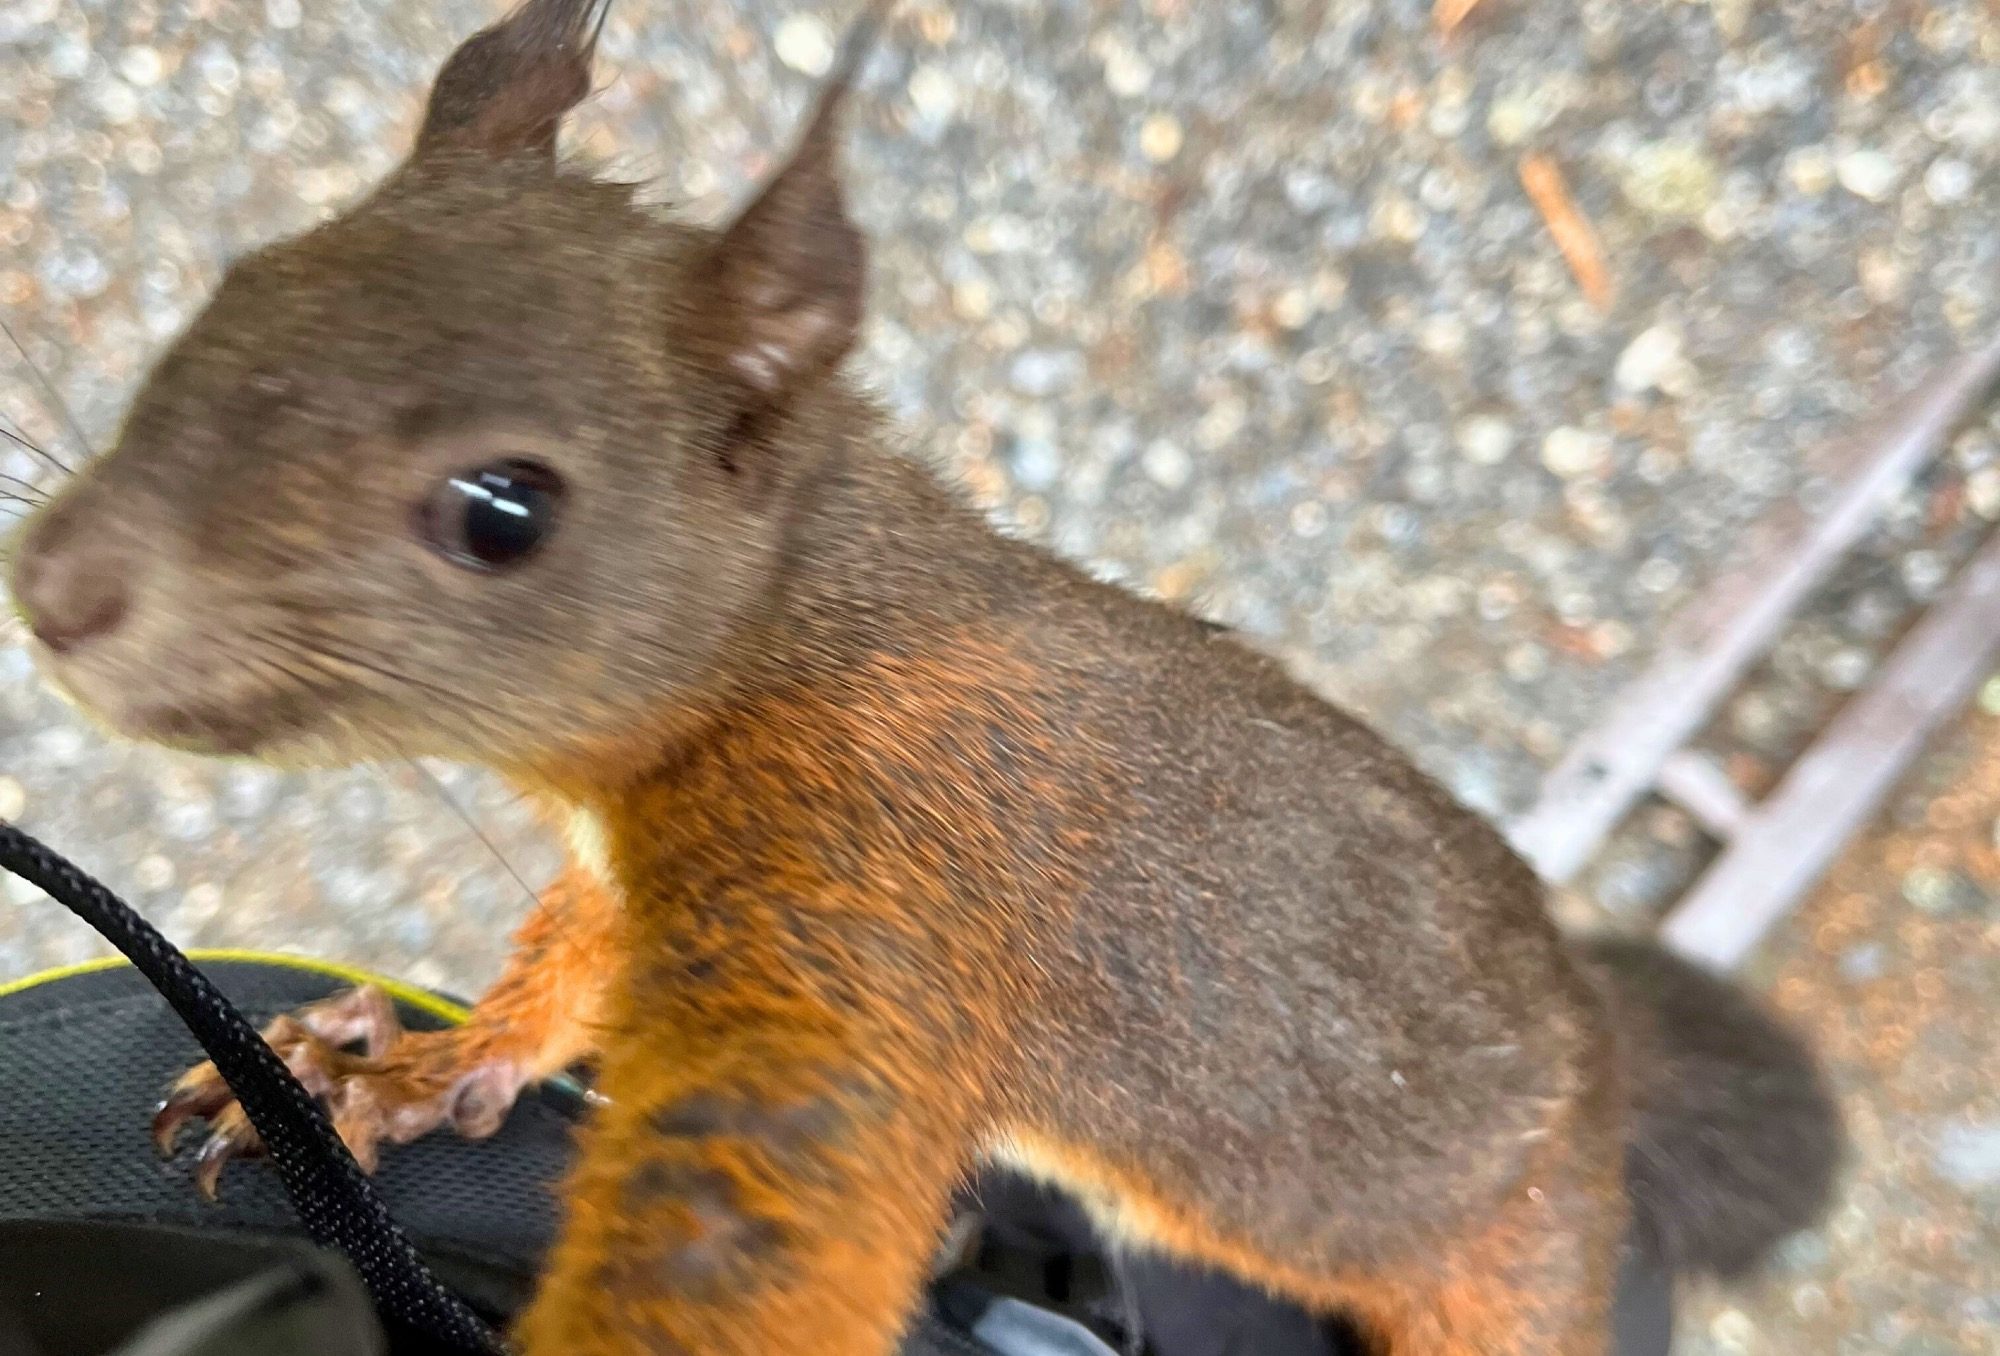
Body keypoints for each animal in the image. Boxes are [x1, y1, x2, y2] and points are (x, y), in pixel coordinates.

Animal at [8, 1, 1841, 1352]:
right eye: (240, 281)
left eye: (503, 509)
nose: (61, 590)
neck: (809, 638)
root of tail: (1597, 1054)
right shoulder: (652, 882)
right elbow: (572, 968)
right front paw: (381, 1076)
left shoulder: (893, 892)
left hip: (1501, 1258)